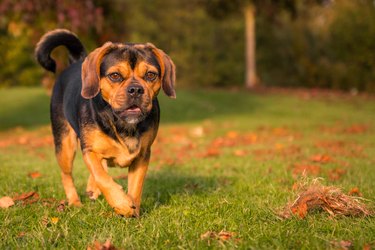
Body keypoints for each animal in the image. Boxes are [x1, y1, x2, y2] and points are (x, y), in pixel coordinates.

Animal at [35, 28, 176, 217]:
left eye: (151, 75)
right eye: (115, 76)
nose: (136, 90)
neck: (122, 123)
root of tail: (76, 62)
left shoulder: (143, 155)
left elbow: (135, 187)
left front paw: (134, 211)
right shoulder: (89, 150)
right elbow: (101, 176)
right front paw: (121, 203)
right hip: (65, 145)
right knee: (68, 175)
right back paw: (75, 202)